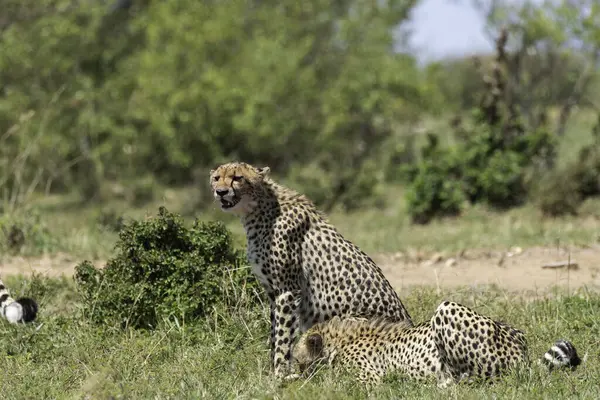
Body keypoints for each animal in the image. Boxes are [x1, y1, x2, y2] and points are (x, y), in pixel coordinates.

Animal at [210, 162, 412, 378]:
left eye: (237, 178)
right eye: (216, 178)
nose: (221, 192)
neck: (258, 209)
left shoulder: (288, 290)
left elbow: (283, 336)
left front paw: (280, 373)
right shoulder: (273, 293)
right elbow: (274, 333)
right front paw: (271, 371)